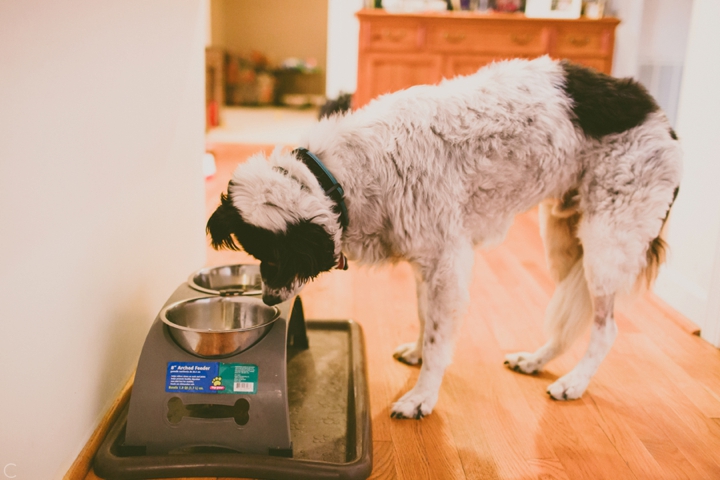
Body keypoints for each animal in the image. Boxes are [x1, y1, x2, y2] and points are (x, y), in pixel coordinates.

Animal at [207, 58, 680, 420]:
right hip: (566, 243)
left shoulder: (446, 265)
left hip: (606, 244)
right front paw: (417, 354)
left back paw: (575, 382)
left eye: (276, 259)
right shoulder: (426, 259)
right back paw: (536, 360)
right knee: (570, 319)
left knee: (606, 329)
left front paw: (421, 396)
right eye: (257, 255)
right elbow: (423, 319)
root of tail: (661, 118)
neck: (341, 175)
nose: (268, 300)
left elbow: (438, 339)